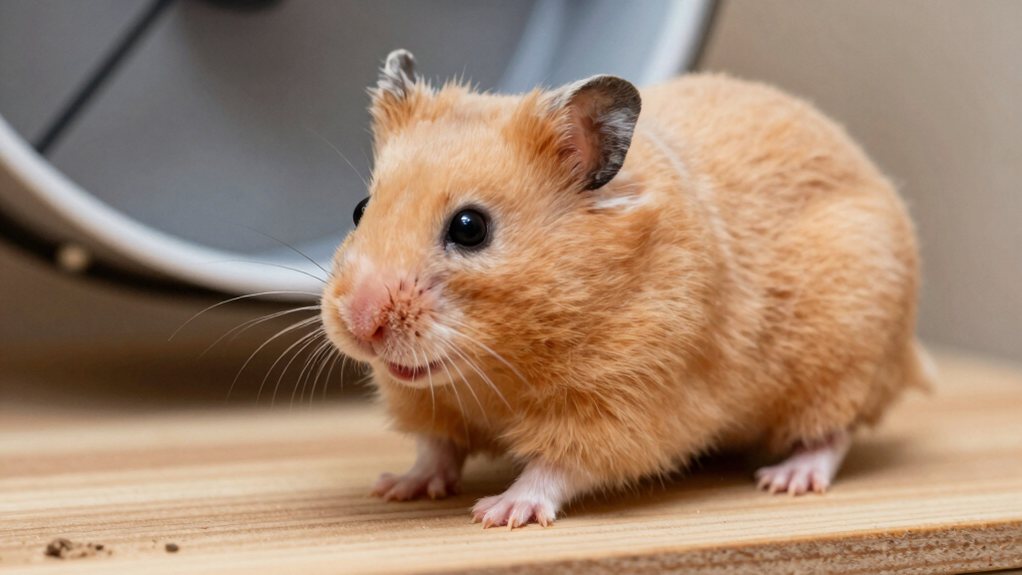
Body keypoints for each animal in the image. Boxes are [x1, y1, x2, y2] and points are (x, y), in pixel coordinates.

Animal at [320, 49, 932, 528]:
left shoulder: (624, 402)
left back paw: (787, 478)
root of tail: (907, 354)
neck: (499, 370)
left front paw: (499, 512)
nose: (360, 322)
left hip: (842, 361)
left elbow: (559, 466)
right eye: (360, 208)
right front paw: (396, 486)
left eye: (470, 228)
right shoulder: (431, 403)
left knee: (833, 433)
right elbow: (436, 447)